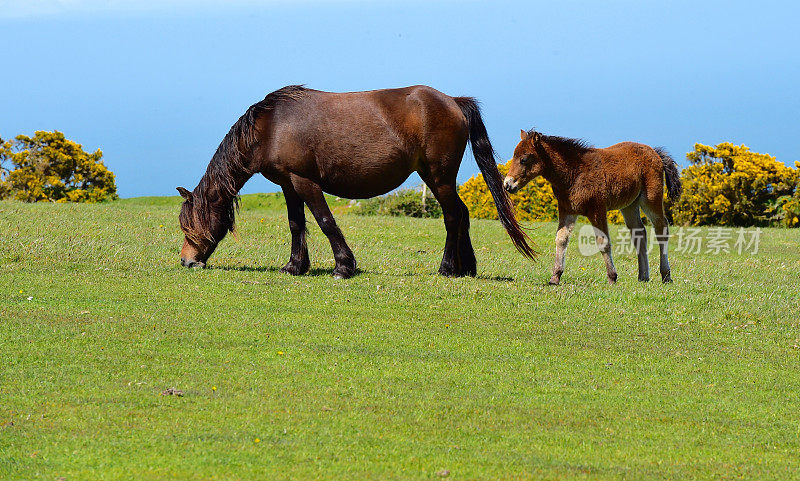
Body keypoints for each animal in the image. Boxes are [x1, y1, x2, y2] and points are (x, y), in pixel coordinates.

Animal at [178, 86, 536, 278]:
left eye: (189, 225)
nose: (186, 260)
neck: (271, 127)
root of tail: (452, 101)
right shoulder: (288, 184)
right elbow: (296, 224)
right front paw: (295, 266)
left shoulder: (304, 181)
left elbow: (325, 221)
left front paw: (343, 266)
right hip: (435, 178)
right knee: (461, 213)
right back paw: (467, 267)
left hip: (438, 176)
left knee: (452, 215)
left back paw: (448, 267)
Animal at [504, 129, 680, 284]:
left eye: (524, 159)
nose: (507, 184)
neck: (574, 173)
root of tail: (655, 152)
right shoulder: (567, 210)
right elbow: (561, 239)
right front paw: (555, 277)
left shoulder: (597, 210)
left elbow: (603, 241)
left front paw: (612, 277)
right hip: (629, 205)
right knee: (639, 232)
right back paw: (643, 276)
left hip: (651, 199)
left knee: (661, 228)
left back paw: (666, 276)